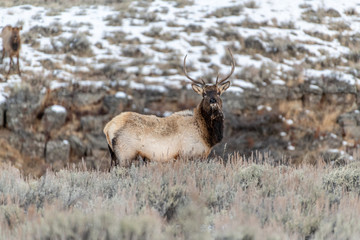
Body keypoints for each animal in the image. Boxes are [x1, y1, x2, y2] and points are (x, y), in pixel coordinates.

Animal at [102, 49, 235, 167]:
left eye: (218, 93)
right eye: (204, 94)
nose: (213, 100)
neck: (207, 135)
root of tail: (107, 128)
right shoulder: (189, 154)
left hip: (114, 156)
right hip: (125, 154)